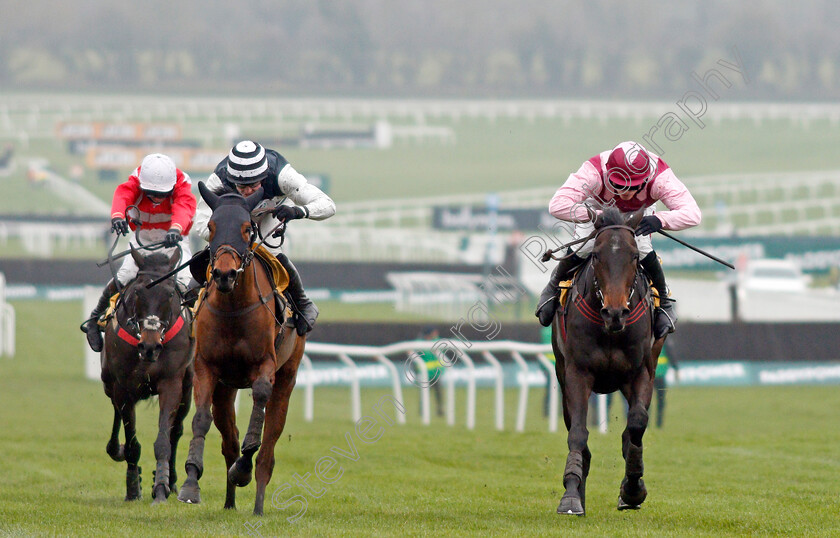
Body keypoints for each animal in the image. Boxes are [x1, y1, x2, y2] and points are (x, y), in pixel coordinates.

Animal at [101, 249, 194, 500]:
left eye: (170, 293)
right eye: (137, 292)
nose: (150, 346)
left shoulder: (171, 382)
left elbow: (164, 440)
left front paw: (161, 486)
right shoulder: (123, 387)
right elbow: (132, 443)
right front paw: (133, 488)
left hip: (189, 386)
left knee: (176, 431)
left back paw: (172, 480)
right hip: (108, 382)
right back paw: (116, 449)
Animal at [177, 182, 306, 512]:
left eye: (247, 228)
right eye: (211, 227)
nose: (224, 274)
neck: (234, 310)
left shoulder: (265, 366)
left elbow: (257, 421)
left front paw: (243, 470)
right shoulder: (206, 368)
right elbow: (201, 419)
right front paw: (190, 483)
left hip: (287, 376)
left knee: (269, 444)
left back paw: (257, 503)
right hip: (226, 388)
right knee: (229, 441)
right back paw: (229, 503)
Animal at [556, 206, 668, 516]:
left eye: (635, 257)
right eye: (596, 255)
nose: (615, 312)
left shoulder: (641, 373)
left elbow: (637, 425)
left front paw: (632, 488)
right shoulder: (577, 373)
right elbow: (578, 434)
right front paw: (571, 495)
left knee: (630, 431)